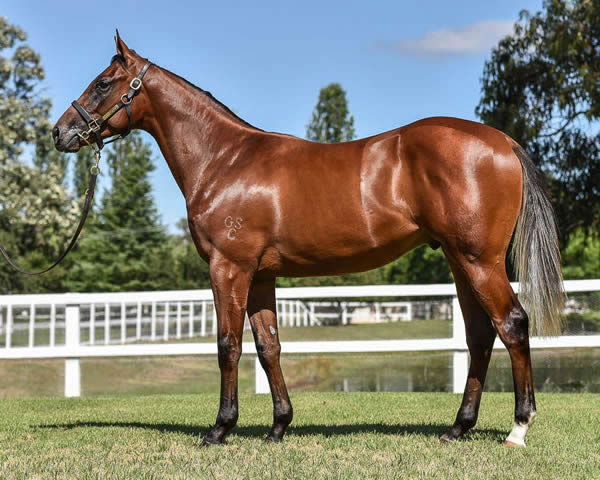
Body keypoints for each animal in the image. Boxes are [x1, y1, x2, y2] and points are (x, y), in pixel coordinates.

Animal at [51, 32, 564, 446]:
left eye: (103, 83)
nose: (60, 133)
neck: (224, 159)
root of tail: (502, 141)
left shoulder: (228, 268)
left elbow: (227, 345)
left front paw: (220, 428)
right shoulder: (260, 276)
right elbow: (269, 346)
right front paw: (279, 426)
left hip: (480, 261)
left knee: (512, 324)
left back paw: (519, 427)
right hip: (461, 263)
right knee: (480, 336)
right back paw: (458, 427)